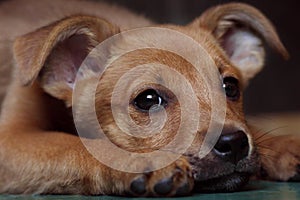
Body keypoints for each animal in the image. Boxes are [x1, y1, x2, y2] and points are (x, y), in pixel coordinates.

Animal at [0, 0, 298, 197]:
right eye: (148, 99)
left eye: (231, 87)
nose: (234, 143)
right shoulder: (12, 138)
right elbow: (74, 147)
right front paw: (142, 161)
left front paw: (283, 146)